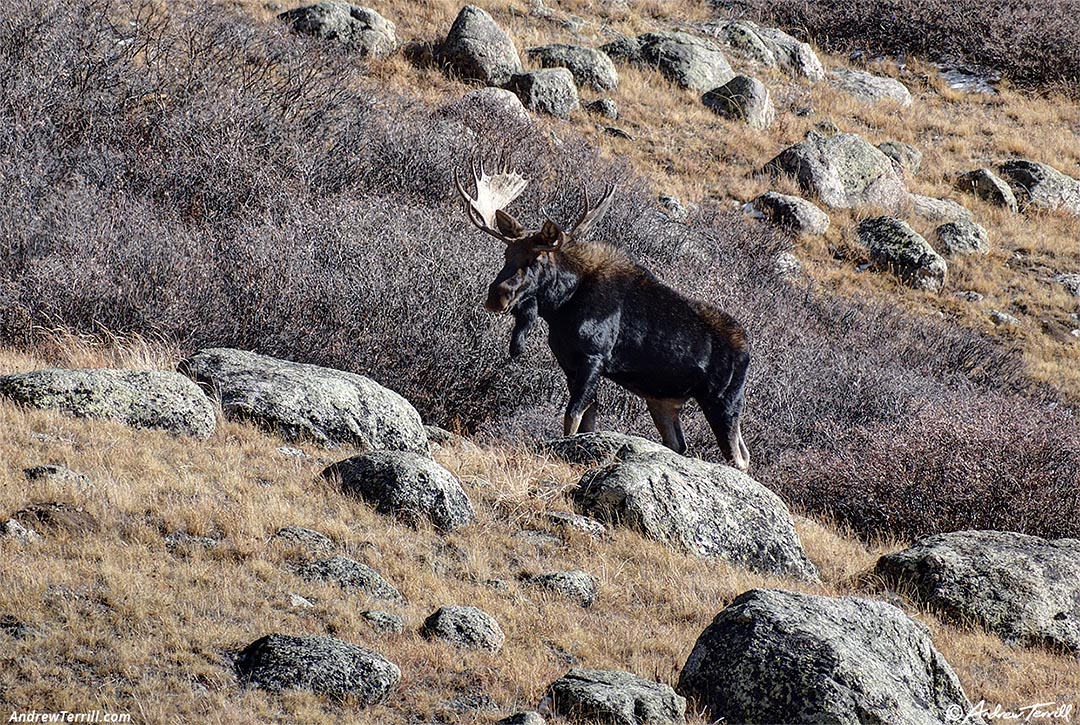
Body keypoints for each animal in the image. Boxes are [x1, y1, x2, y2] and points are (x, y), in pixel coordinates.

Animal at [455, 156, 751, 471]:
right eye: (506, 255)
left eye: (536, 260)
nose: (497, 296)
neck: (561, 305)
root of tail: (748, 349)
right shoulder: (569, 363)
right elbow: (587, 422)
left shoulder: (594, 357)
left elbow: (572, 416)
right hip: (663, 401)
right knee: (680, 445)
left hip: (724, 400)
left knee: (739, 458)